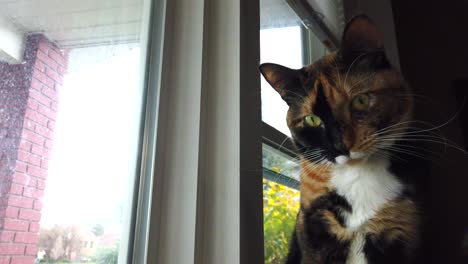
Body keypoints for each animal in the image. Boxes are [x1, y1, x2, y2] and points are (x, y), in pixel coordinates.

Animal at [260, 15, 420, 262]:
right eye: (312, 119)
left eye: (360, 101)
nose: (339, 146)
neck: (358, 176)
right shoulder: (313, 227)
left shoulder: (399, 228)